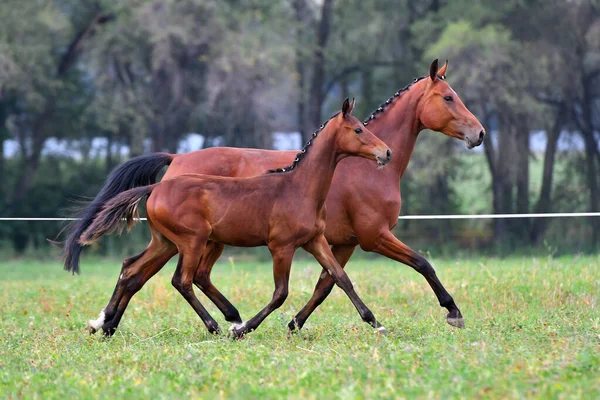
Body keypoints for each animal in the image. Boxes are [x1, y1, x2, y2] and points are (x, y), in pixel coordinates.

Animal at [79, 98, 392, 336]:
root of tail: (155, 187)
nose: (386, 152)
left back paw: (104, 324)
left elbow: (341, 278)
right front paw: (242, 329)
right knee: (182, 280)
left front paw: (376, 324)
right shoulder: (281, 247)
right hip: (192, 241)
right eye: (358, 129)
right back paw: (216, 325)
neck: (300, 188)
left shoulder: (315, 241)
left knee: (131, 269)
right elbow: (281, 293)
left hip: (165, 242)